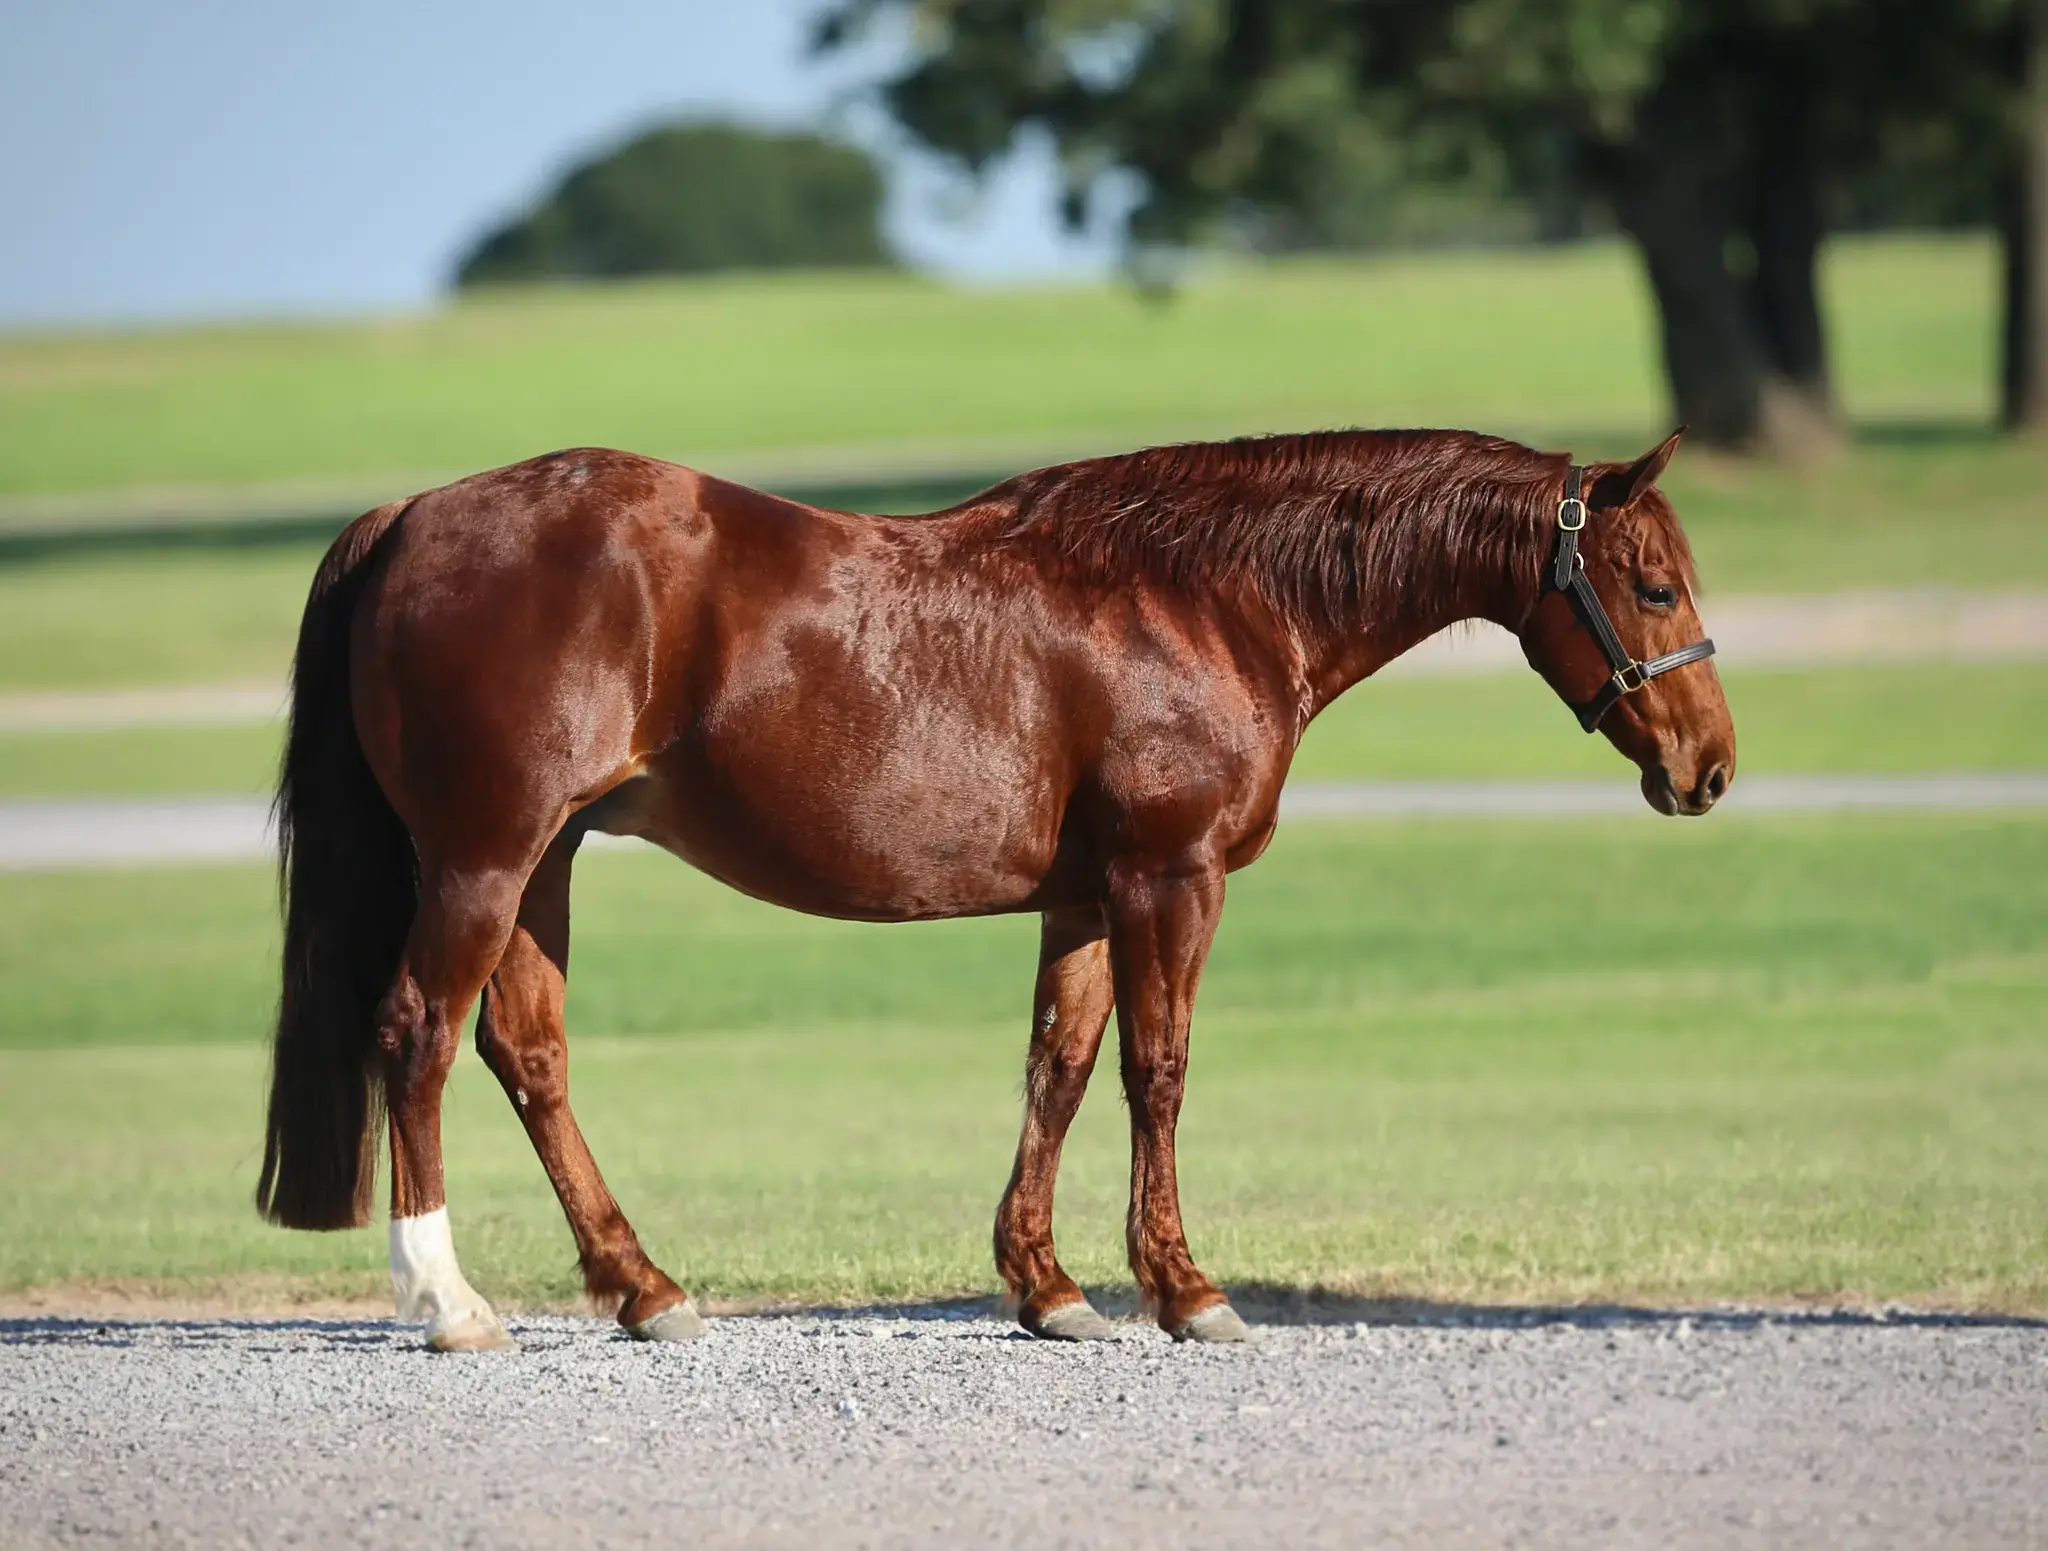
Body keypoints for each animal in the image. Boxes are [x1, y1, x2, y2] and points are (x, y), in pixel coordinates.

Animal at [255, 426, 1733, 1351]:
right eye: (1653, 584)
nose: (1709, 767)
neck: (1199, 597)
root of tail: (414, 516)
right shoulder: (1167, 877)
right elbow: (1157, 1070)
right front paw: (1183, 1288)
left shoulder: (1083, 897)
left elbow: (1058, 1068)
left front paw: (1048, 1285)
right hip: (484, 859)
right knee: (418, 1036)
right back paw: (448, 1302)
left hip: (543, 861)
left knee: (529, 1054)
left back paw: (644, 1286)